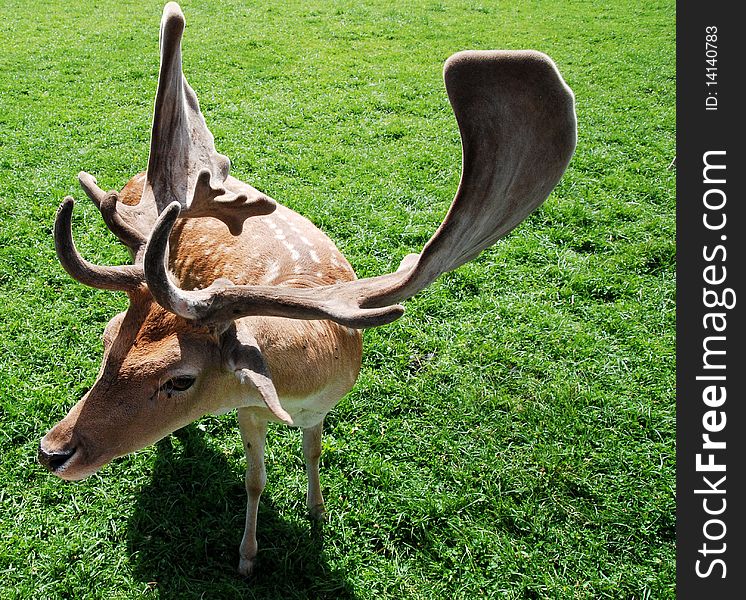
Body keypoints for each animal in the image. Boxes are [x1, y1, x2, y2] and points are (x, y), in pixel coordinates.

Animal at [37, 3, 576, 576]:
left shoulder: (321, 407)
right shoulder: (250, 408)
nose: (52, 451)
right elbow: (254, 480)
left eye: (180, 379)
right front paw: (248, 556)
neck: (303, 376)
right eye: (107, 338)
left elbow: (313, 455)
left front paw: (317, 514)